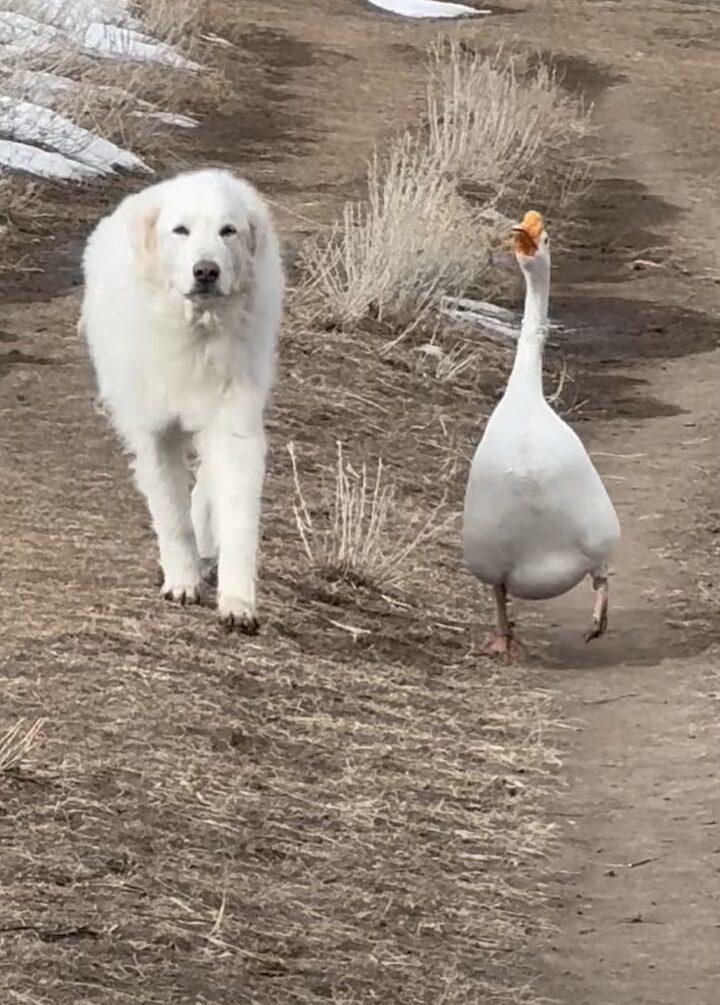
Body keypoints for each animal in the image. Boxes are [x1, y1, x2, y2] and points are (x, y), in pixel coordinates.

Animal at [80, 168, 283, 631]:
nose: (206, 271)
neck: (197, 332)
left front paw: (238, 602)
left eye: (228, 231)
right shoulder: (155, 434)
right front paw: (183, 581)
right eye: (181, 231)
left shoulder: (235, 428)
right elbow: (171, 513)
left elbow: (238, 519)